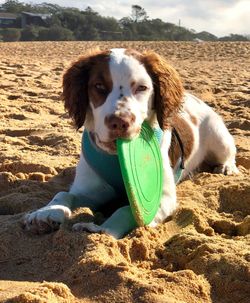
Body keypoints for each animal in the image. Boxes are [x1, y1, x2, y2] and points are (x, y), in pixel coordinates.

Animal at [23, 48, 238, 240]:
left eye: (142, 88)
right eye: (99, 86)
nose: (119, 122)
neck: (116, 157)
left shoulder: (164, 197)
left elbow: (128, 209)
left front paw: (101, 230)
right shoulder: (90, 190)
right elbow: (64, 194)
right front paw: (46, 213)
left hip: (219, 138)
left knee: (229, 153)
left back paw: (227, 167)